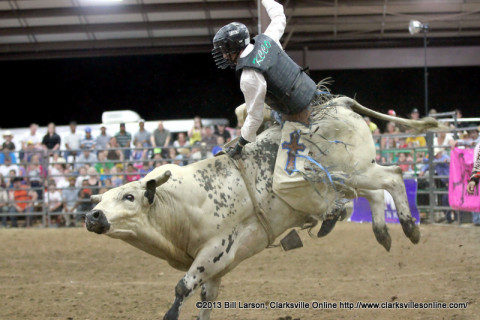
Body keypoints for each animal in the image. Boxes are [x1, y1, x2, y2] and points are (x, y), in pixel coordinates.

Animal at [85, 97, 438, 320]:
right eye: (101, 200)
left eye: (129, 197)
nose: (92, 215)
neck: (180, 205)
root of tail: (339, 103)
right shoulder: (217, 269)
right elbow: (205, 302)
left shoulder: (215, 251)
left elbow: (183, 287)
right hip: (349, 177)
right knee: (374, 194)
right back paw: (379, 232)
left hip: (357, 170)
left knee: (394, 177)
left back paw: (410, 227)